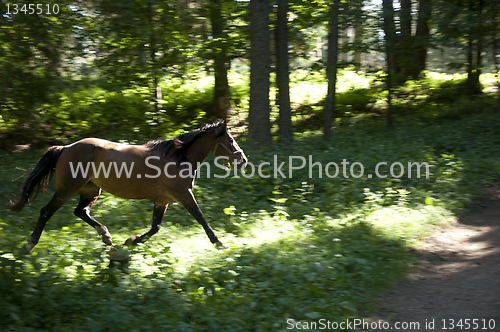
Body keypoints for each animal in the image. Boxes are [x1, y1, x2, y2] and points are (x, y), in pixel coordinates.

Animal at [8, 120, 247, 253]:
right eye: (230, 140)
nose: (243, 160)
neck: (178, 157)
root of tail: (66, 147)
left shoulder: (162, 200)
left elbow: (155, 227)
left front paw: (129, 241)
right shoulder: (183, 194)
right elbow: (201, 219)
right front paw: (220, 244)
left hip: (91, 190)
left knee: (81, 211)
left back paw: (106, 236)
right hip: (67, 189)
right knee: (46, 211)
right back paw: (29, 244)